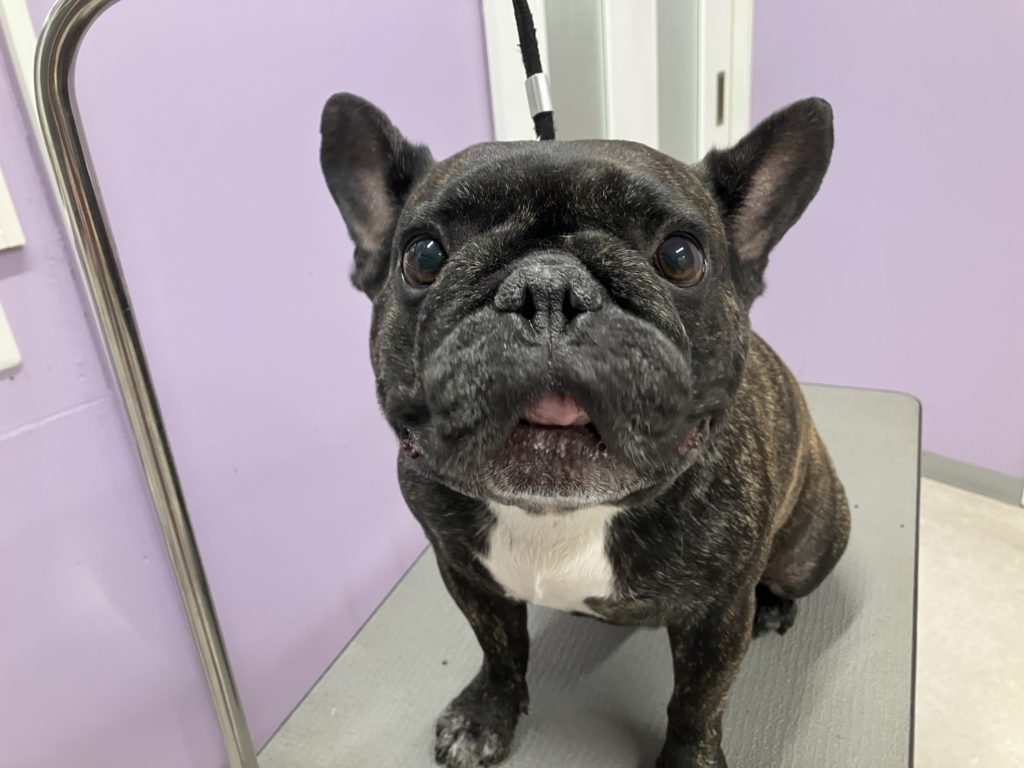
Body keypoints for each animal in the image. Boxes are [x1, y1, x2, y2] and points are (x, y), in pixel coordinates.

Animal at [319, 92, 850, 768]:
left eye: (682, 257)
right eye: (423, 256)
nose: (548, 287)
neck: (558, 516)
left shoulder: (717, 614)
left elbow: (698, 702)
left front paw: (688, 760)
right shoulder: (466, 573)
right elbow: (498, 651)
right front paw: (486, 716)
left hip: (812, 543)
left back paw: (775, 606)